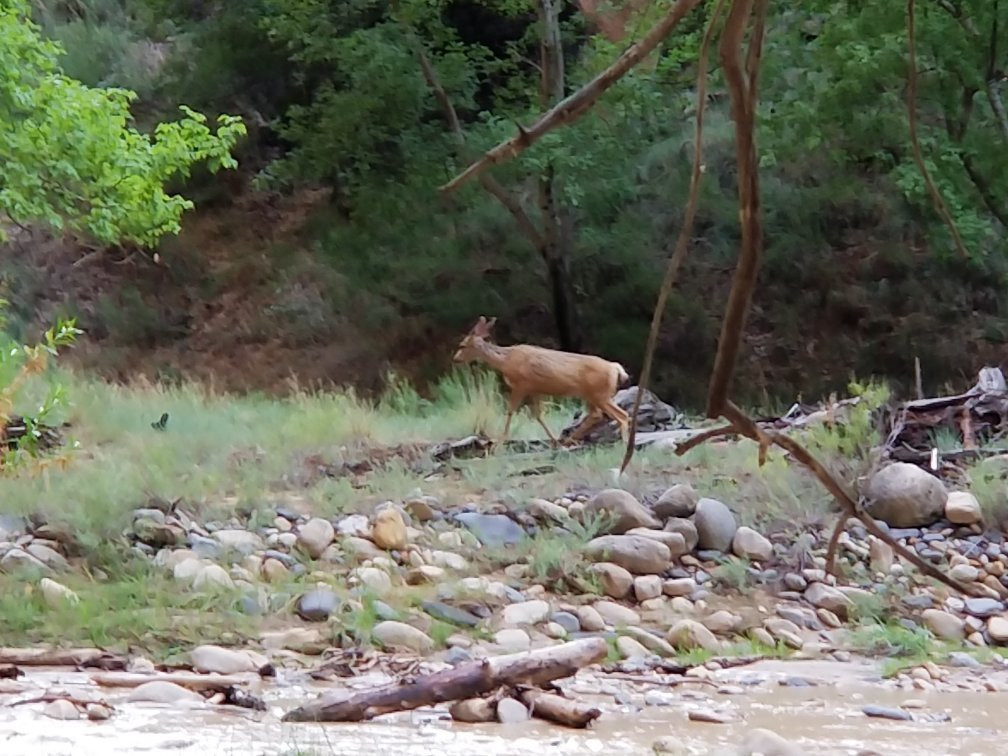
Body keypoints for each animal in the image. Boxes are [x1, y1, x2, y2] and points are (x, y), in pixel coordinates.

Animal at [451, 314, 628, 447]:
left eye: (462, 345)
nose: (455, 359)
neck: (506, 361)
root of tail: (615, 368)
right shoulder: (535, 389)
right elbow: (538, 415)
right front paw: (553, 441)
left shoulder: (521, 385)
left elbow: (510, 411)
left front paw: (499, 443)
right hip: (592, 395)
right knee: (598, 414)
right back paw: (568, 440)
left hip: (599, 394)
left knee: (621, 415)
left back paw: (623, 444)